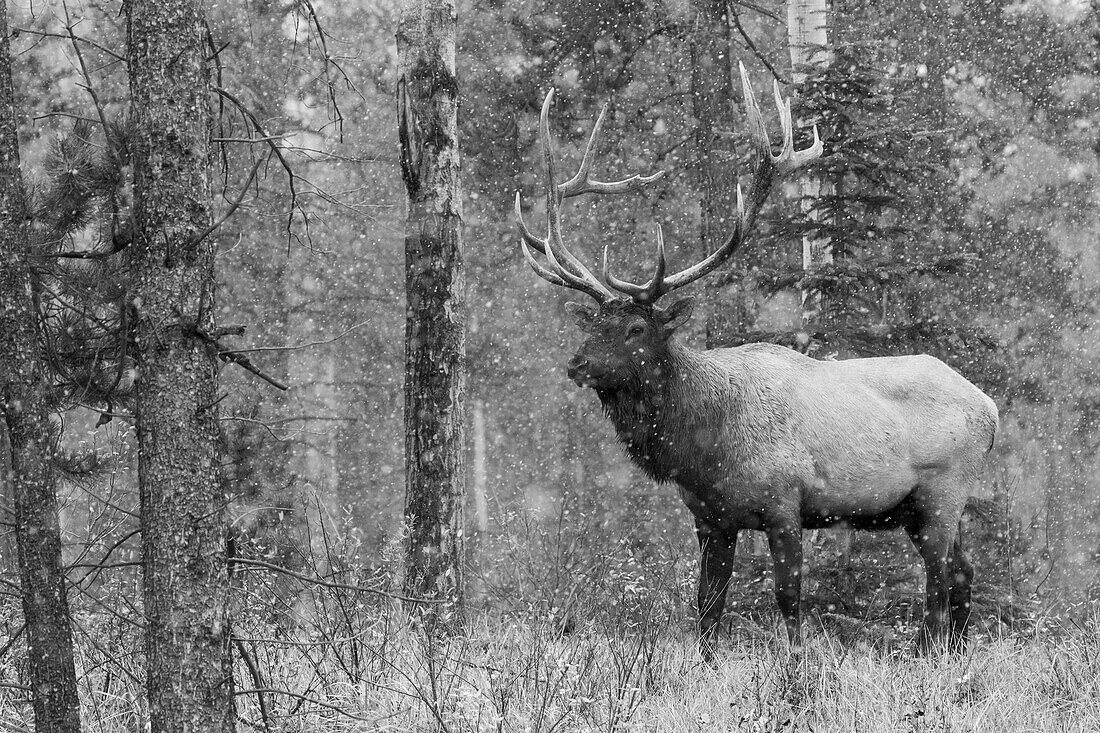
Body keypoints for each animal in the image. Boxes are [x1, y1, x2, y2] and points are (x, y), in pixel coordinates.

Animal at [512, 64, 998, 655]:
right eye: (595, 324)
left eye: (636, 328)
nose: (577, 365)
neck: (703, 446)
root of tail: (991, 408)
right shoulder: (712, 518)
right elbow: (707, 608)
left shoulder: (785, 503)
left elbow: (789, 601)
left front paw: (795, 666)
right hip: (925, 507)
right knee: (964, 574)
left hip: (944, 491)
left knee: (938, 584)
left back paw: (929, 655)